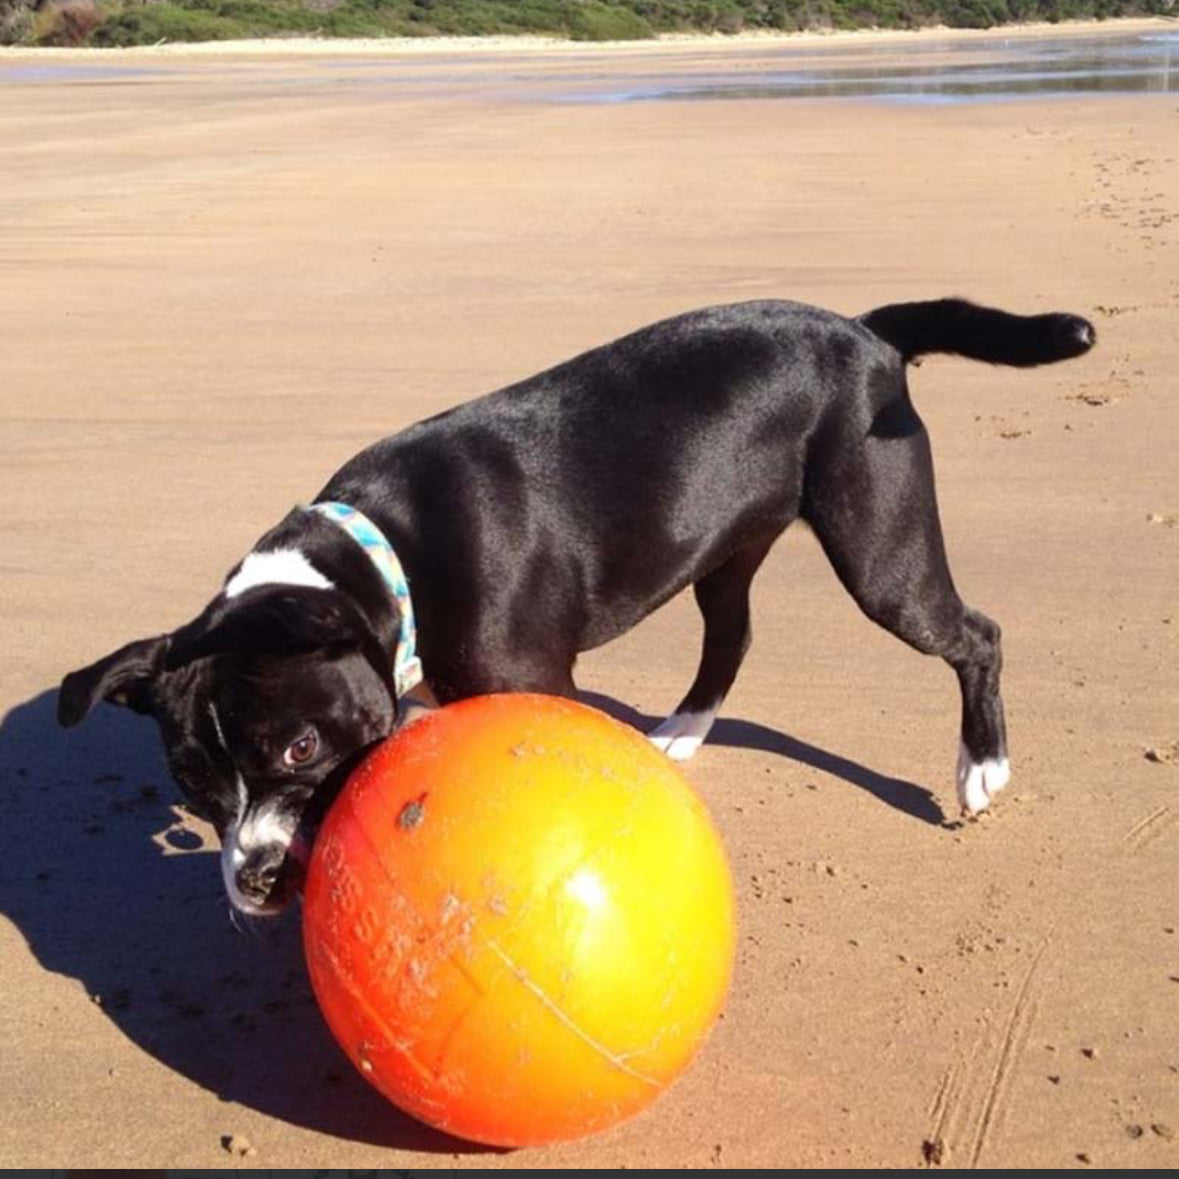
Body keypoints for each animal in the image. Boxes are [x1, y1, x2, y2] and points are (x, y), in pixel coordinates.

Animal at [59, 294, 1094, 910]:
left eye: (301, 747)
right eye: (194, 789)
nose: (258, 876)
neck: (384, 559)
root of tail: (864, 333)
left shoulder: (530, 680)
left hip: (880, 551)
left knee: (974, 633)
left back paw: (980, 766)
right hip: (727, 548)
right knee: (731, 635)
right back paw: (680, 730)